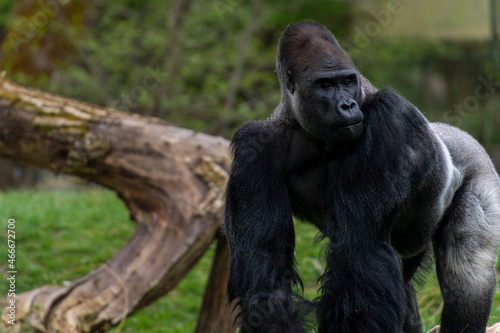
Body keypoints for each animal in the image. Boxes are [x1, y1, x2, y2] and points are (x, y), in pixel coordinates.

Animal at [225, 21, 500, 332]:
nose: (347, 105)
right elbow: (266, 271)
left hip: (478, 165)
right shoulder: (254, 150)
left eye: (347, 82)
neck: (310, 130)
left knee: (467, 271)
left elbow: (361, 251)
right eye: (325, 85)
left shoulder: (389, 116)